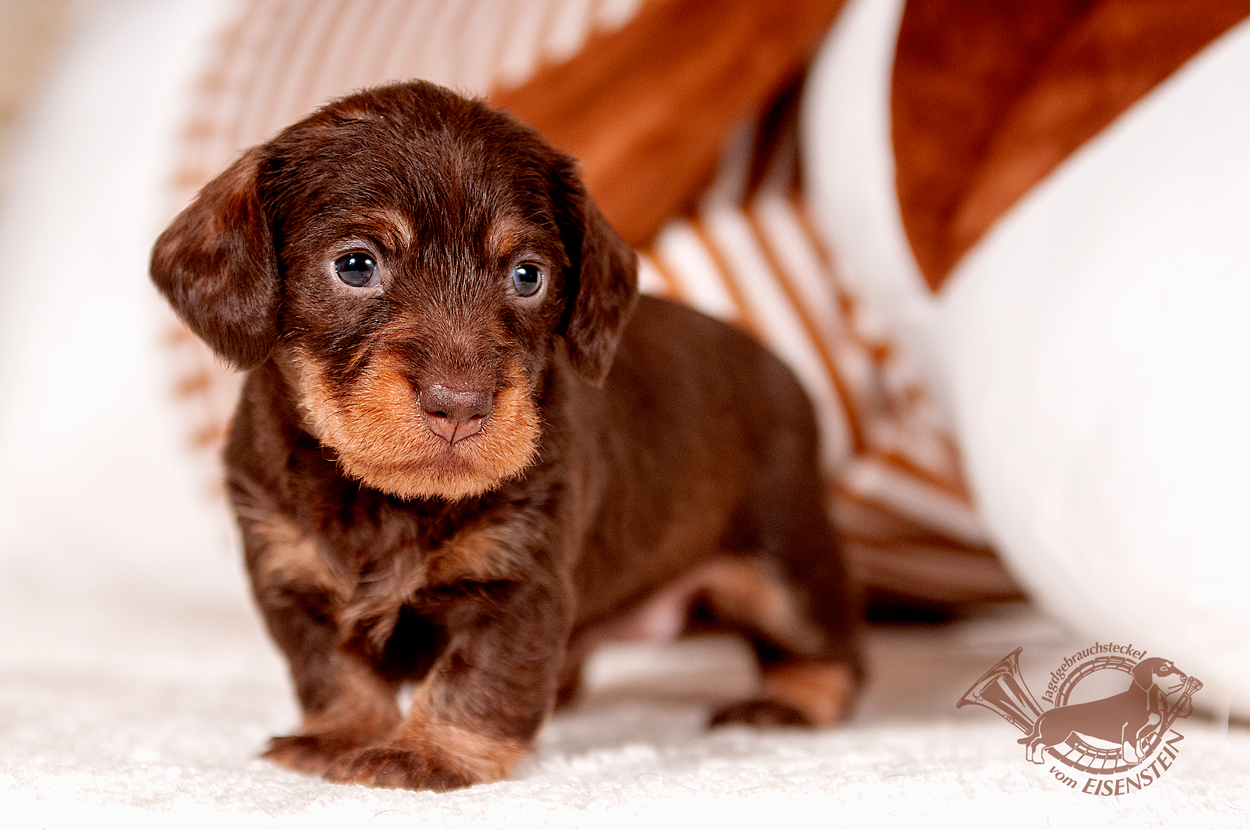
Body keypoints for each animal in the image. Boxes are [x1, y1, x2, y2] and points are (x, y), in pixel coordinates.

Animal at [150, 81, 860, 791]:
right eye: (355, 265)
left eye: (527, 275)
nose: (460, 407)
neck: (390, 500)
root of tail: (781, 367)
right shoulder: (291, 577)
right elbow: (331, 670)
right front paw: (340, 737)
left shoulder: (517, 584)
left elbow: (472, 679)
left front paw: (427, 753)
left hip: (786, 557)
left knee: (832, 650)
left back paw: (788, 701)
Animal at [1020, 658, 1195, 765]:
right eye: (1163, 668)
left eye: (1173, 664)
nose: (1185, 677)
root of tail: (1045, 714)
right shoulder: (1130, 730)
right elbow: (1130, 746)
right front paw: (1132, 760)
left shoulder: (1139, 734)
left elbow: (1138, 746)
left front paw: (1140, 757)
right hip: (1055, 735)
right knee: (1036, 743)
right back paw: (1037, 760)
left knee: (1032, 743)